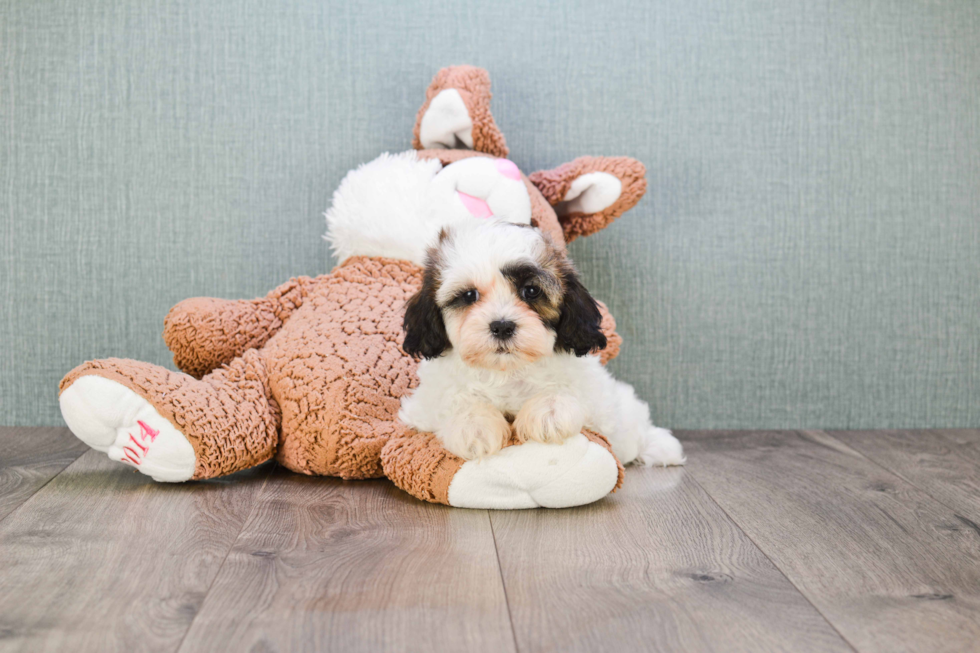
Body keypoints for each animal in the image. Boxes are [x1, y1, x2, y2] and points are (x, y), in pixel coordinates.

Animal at [394, 219, 684, 468]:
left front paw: (549, 412)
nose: (502, 326)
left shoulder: (594, 395)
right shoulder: (425, 404)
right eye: (468, 295)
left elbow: (570, 391)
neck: (507, 371)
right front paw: (474, 426)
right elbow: (454, 400)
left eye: (531, 291)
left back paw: (661, 447)